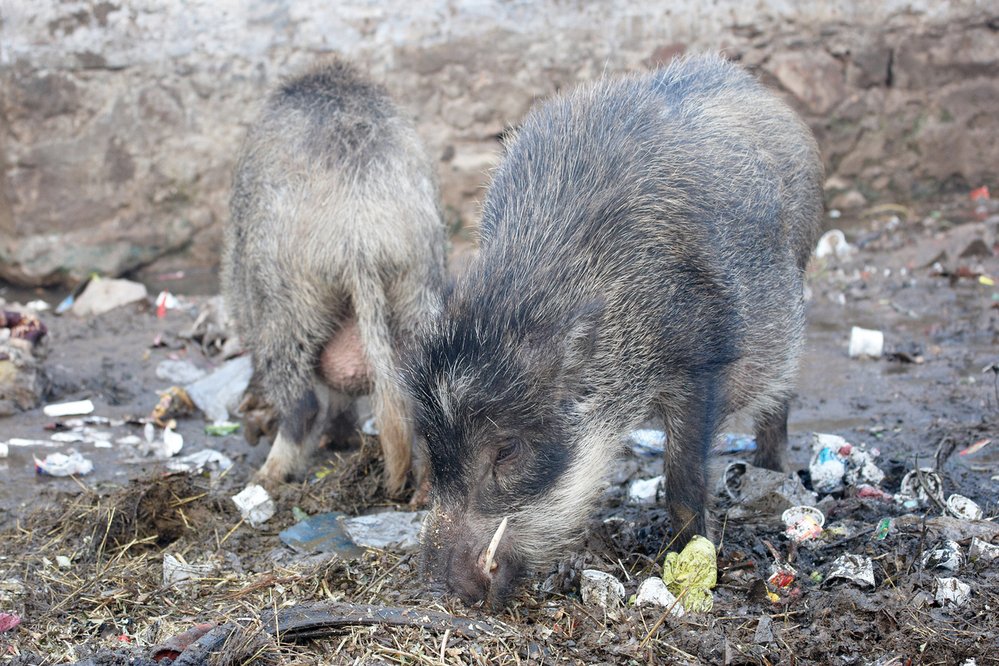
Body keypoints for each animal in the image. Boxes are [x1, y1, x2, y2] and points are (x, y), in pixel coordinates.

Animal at [402, 54, 824, 604]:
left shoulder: (702, 363)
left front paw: (690, 564)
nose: (440, 588)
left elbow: (683, 480)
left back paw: (772, 475)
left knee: (780, 397)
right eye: (431, 446)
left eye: (508, 449)